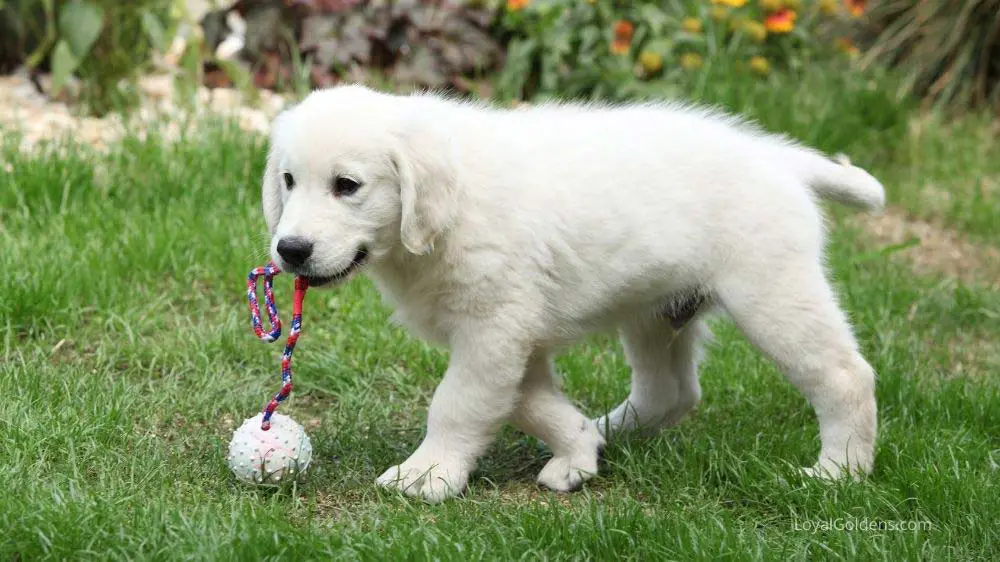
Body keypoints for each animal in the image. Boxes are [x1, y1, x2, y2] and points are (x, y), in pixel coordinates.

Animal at [264, 84, 884, 504]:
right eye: (289, 181)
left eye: (348, 186)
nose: (289, 250)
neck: (447, 212)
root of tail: (776, 156)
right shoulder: (516, 334)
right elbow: (526, 402)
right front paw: (579, 448)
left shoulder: (494, 327)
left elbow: (459, 402)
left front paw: (430, 473)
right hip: (656, 311)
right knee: (671, 392)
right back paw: (608, 433)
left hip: (772, 293)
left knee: (846, 375)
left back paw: (840, 471)